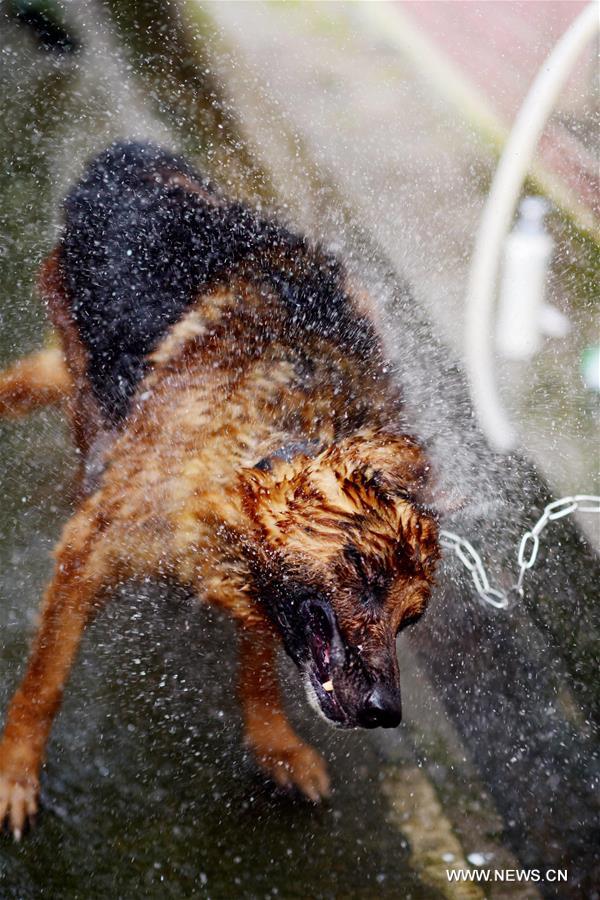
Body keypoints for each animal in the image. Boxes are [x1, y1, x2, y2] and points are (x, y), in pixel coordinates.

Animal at [0, 141, 440, 836]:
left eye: (412, 618)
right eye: (365, 575)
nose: (384, 712)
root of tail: (126, 154)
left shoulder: (263, 579)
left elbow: (260, 658)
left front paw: (273, 739)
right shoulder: (92, 551)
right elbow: (46, 682)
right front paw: (16, 770)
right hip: (86, 384)